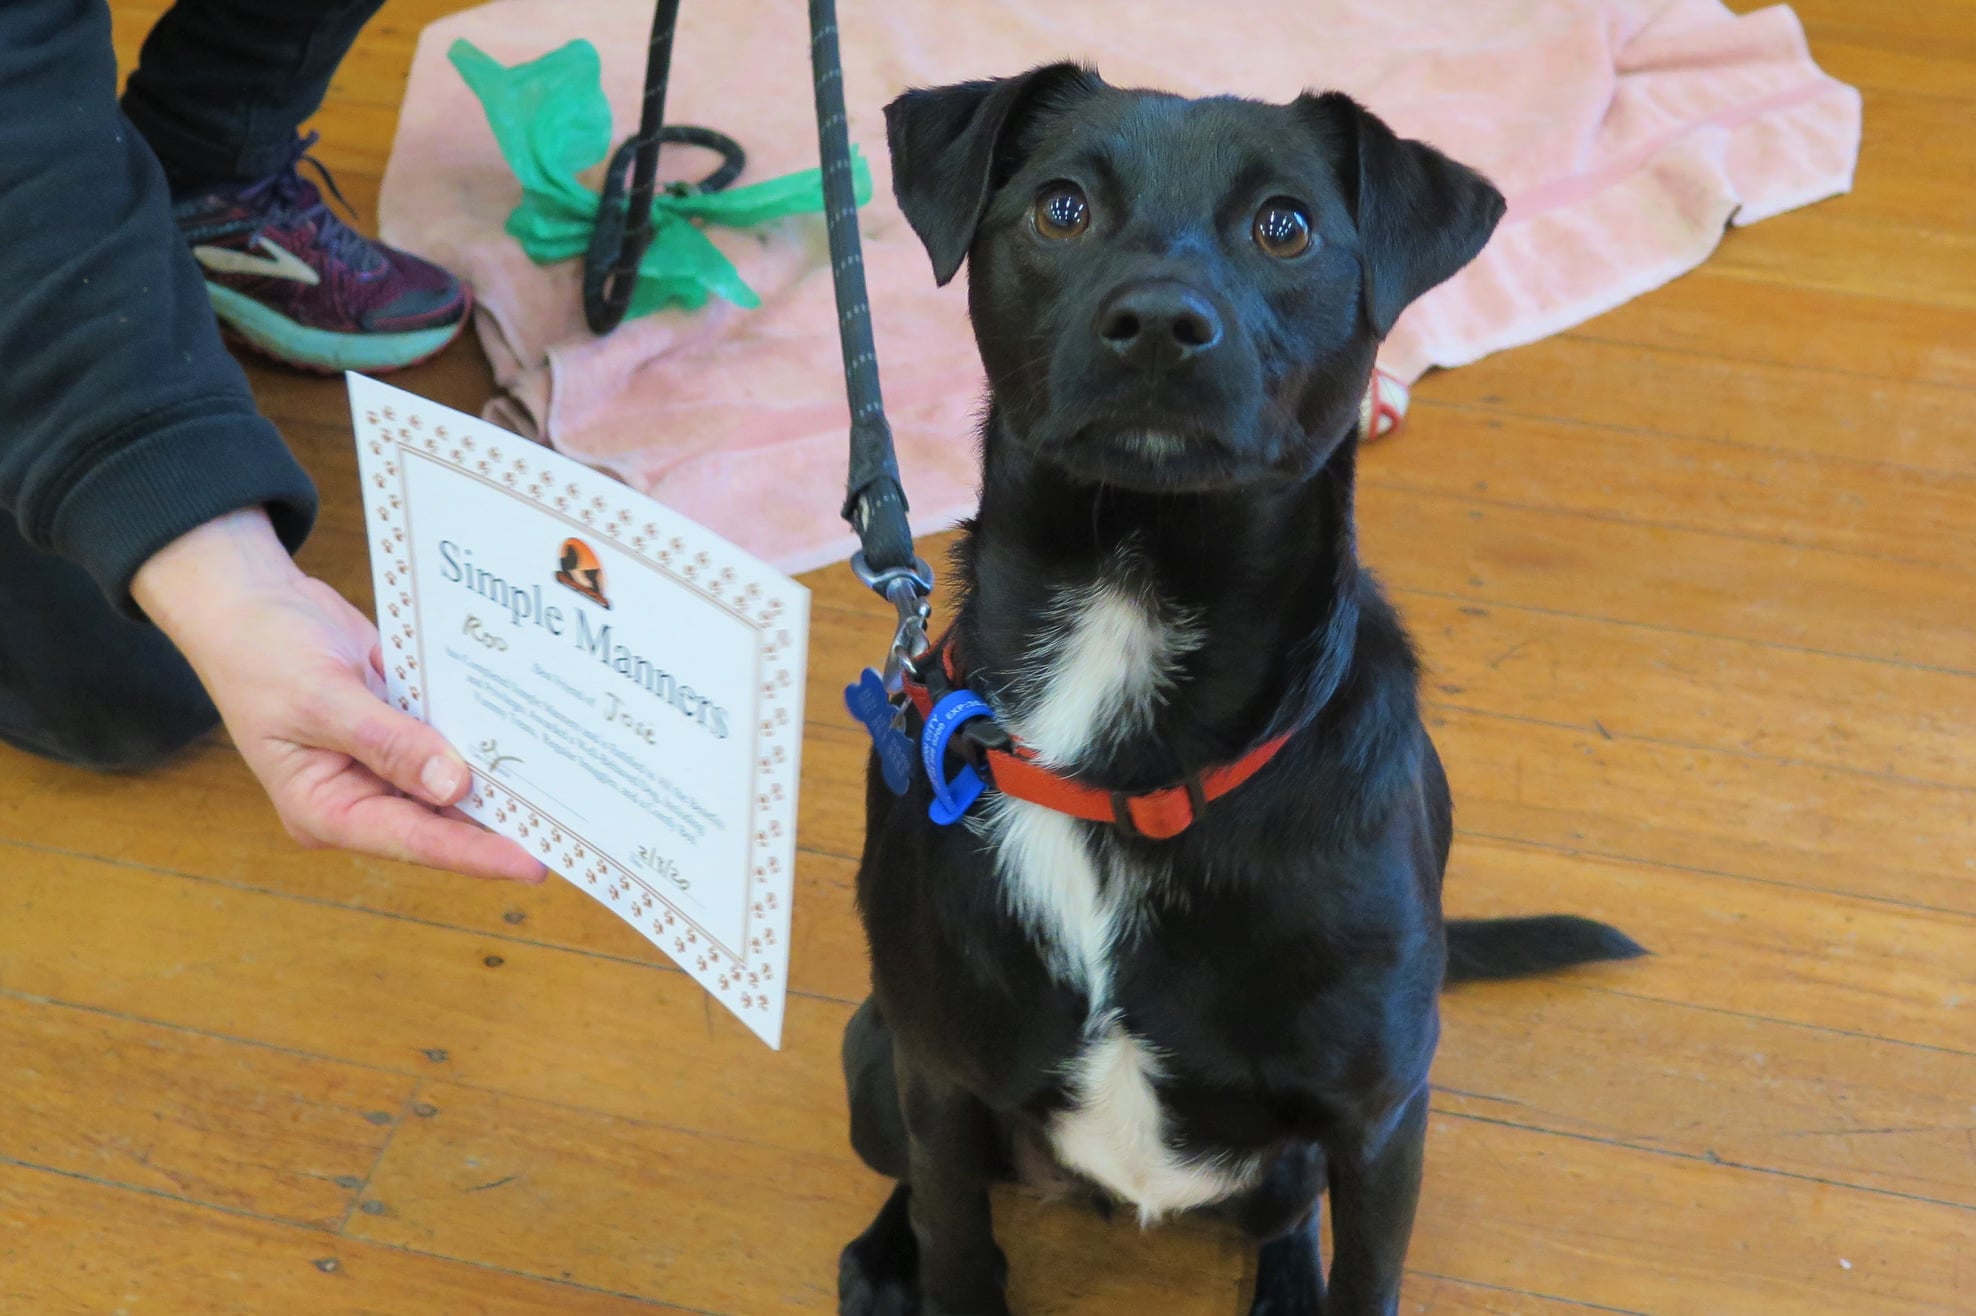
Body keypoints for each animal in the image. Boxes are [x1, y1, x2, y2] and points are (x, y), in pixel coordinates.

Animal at [841, 66, 1644, 1312]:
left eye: (1284, 226)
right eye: (1061, 207)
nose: (1158, 325)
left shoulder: (1377, 1119)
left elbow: (1364, 1274)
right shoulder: (937, 1068)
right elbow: (960, 1247)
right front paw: (921, 1258)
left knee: (1286, 1215)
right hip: (873, 1058)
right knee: (921, 1183)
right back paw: (883, 1254)